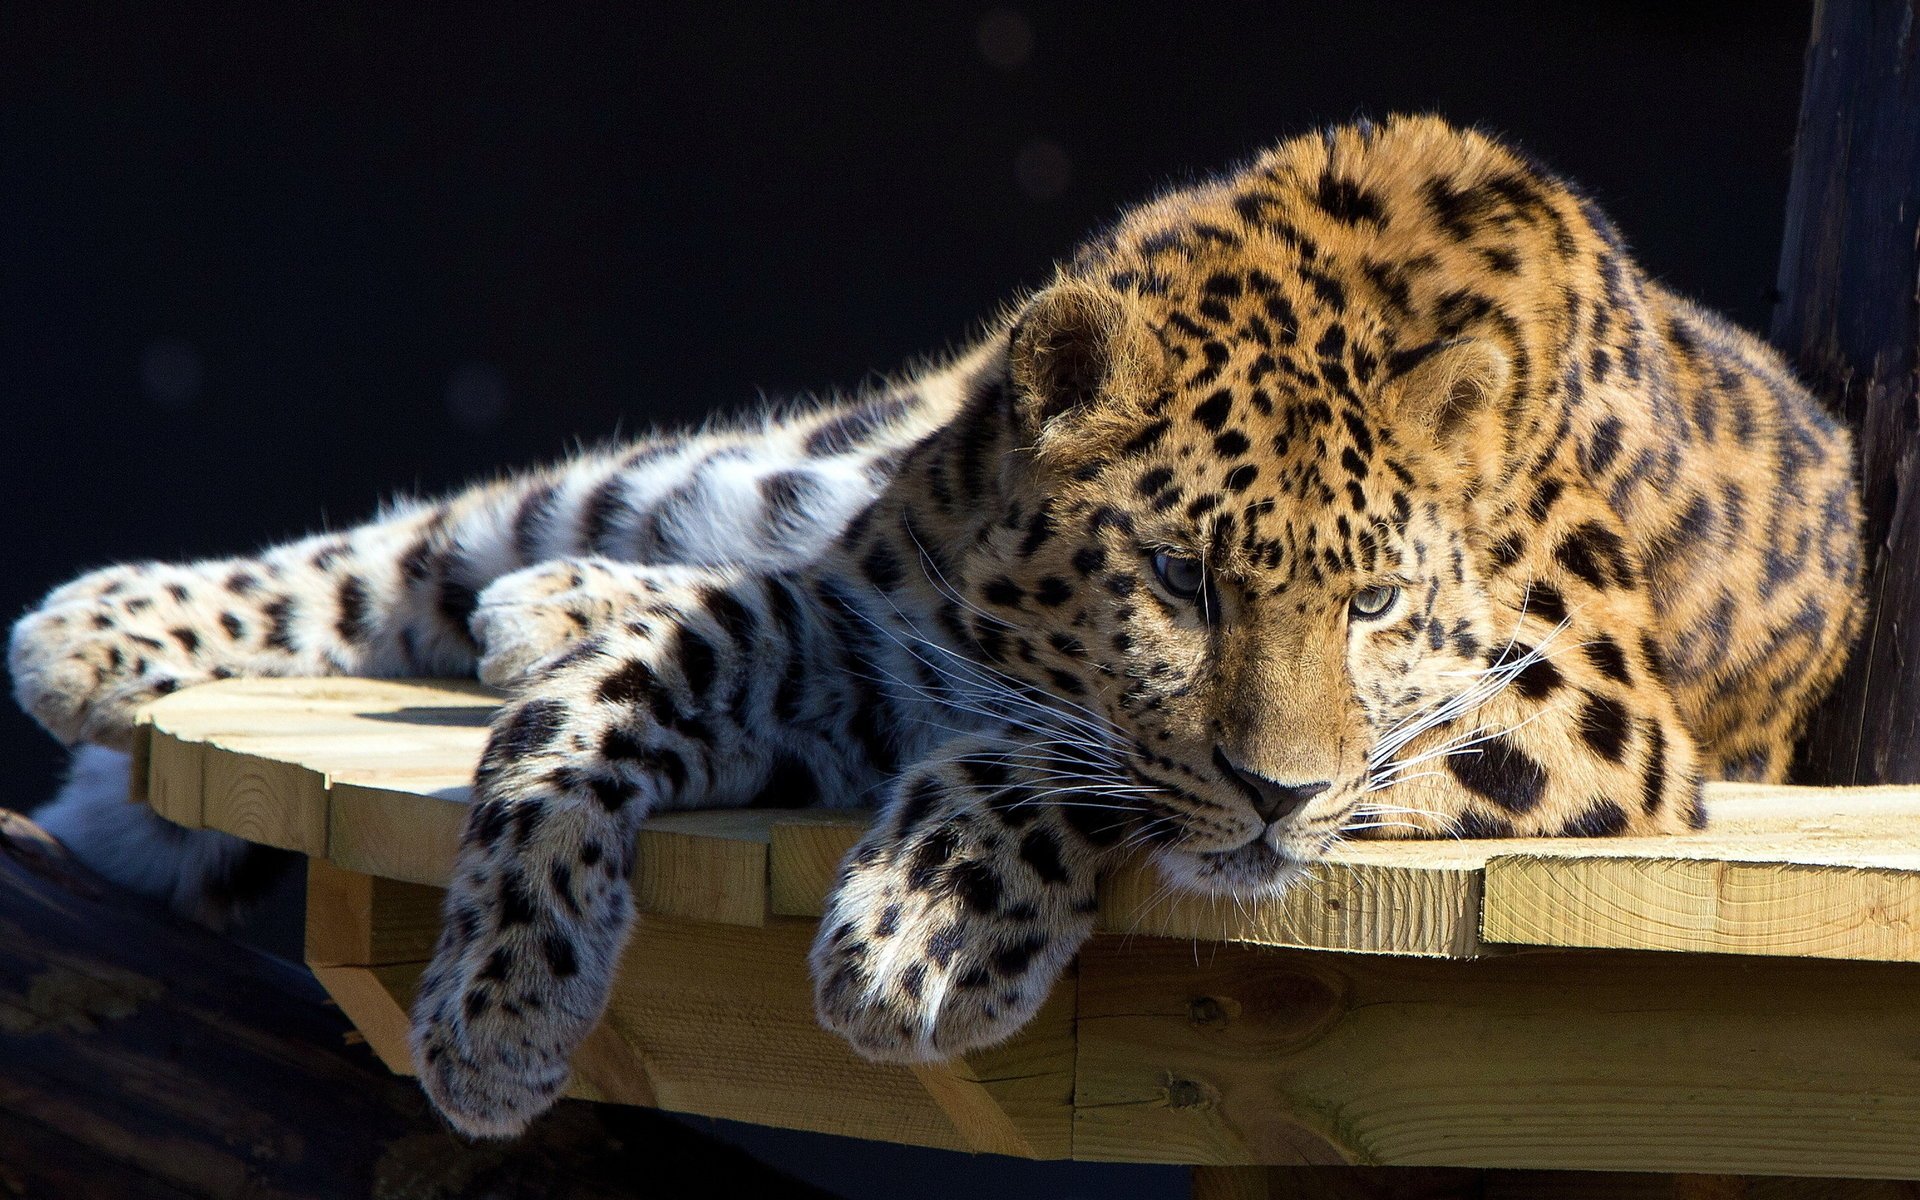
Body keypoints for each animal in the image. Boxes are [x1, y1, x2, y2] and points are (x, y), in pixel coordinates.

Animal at [10, 115, 1864, 1139]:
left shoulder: (1583, 719)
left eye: (1377, 605)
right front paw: (499, 999)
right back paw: (102, 636)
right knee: (465, 532)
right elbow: (606, 706)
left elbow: (1072, 763)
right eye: (1179, 581)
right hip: (747, 474)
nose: (1277, 801)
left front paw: (923, 931)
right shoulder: (872, 634)